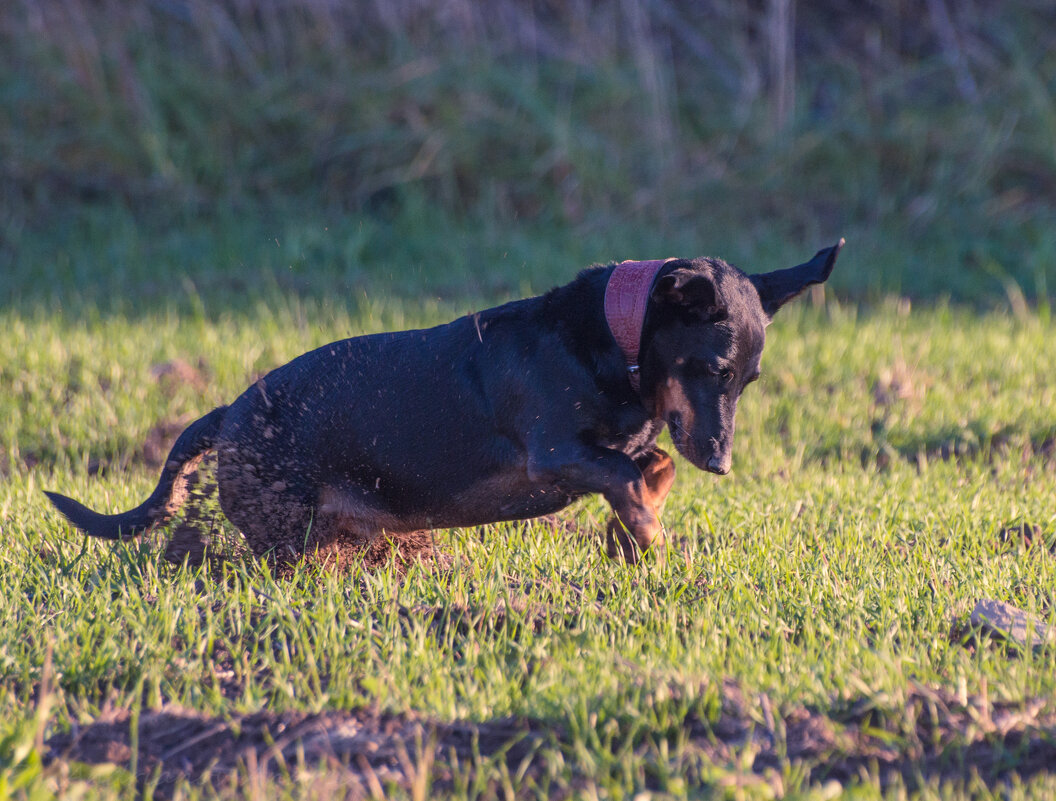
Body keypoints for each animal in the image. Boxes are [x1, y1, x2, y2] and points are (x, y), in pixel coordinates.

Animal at [45, 241, 844, 565]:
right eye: (710, 366)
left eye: (748, 380)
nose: (722, 463)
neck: (612, 343)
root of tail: (227, 415)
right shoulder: (552, 451)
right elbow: (627, 474)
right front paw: (649, 536)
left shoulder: (628, 445)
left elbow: (648, 466)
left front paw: (634, 532)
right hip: (287, 531)